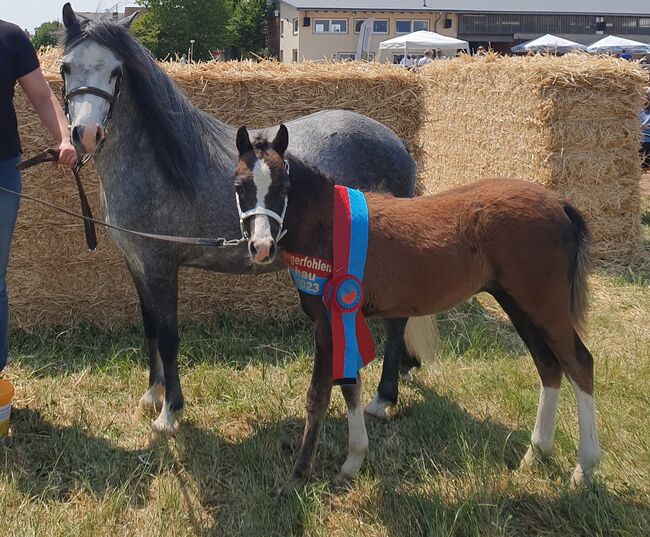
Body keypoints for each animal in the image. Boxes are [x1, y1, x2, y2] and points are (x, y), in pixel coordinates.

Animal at [59, 4, 436, 438]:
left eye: (116, 71)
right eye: (66, 67)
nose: (86, 134)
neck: (159, 165)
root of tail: (396, 144)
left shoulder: (160, 265)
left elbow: (168, 336)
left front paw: (170, 412)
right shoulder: (136, 262)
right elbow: (150, 326)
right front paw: (152, 395)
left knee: (396, 320)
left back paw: (383, 398)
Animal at [235, 124, 600, 490]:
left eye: (284, 187)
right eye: (240, 186)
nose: (262, 247)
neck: (330, 226)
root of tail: (559, 203)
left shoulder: (329, 321)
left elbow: (319, 395)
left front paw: (299, 475)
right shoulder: (342, 321)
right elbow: (349, 385)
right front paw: (353, 460)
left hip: (545, 306)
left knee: (579, 363)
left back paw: (584, 468)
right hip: (519, 305)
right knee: (548, 366)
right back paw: (536, 453)